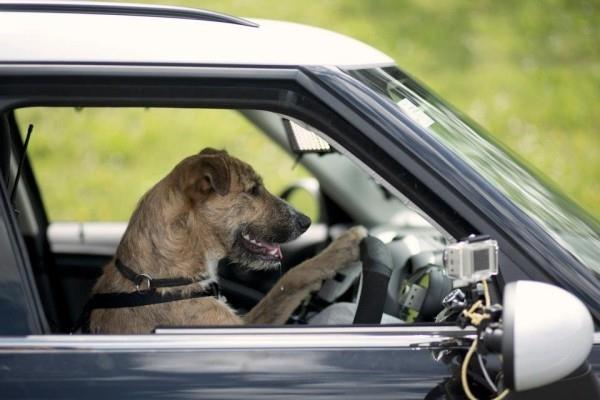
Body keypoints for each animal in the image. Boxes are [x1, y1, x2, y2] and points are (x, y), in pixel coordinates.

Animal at [89, 148, 366, 332]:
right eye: (253, 190)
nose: (306, 221)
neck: (155, 281)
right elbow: (292, 277)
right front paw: (346, 245)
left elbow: (287, 284)